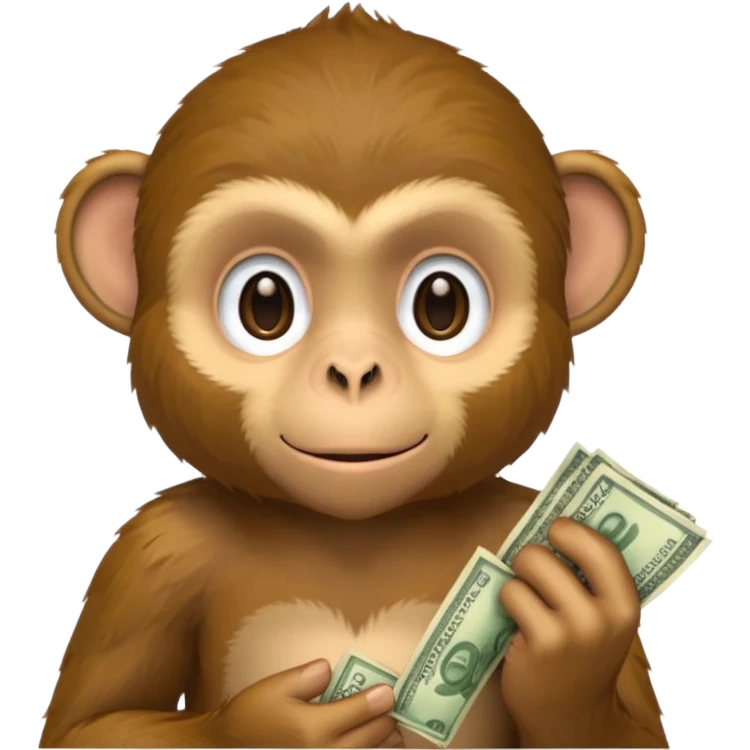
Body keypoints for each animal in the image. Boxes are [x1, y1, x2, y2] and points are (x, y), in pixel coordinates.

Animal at [41, 4, 669, 749]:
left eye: (441, 304)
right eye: (264, 304)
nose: (352, 371)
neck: (358, 531)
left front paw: (568, 644)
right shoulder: (156, 551)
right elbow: (93, 725)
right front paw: (278, 725)